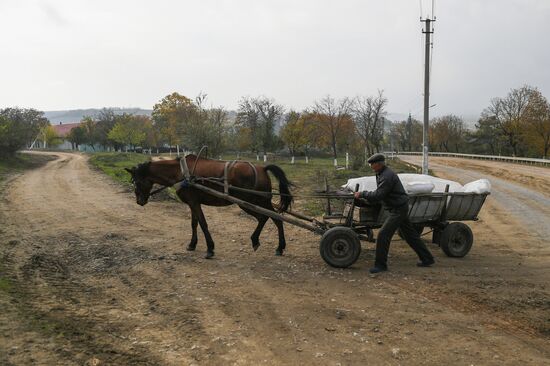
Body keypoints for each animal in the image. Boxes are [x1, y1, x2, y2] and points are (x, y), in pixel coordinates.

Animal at [126, 154, 294, 258]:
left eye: (137, 181)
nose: (139, 201)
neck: (180, 172)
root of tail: (262, 168)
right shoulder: (193, 203)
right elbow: (194, 223)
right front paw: (192, 244)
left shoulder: (194, 202)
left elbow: (202, 223)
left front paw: (210, 249)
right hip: (257, 202)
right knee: (274, 219)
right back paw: (277, 246)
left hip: (253, 202)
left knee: (267, 217)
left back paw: (261, 241)